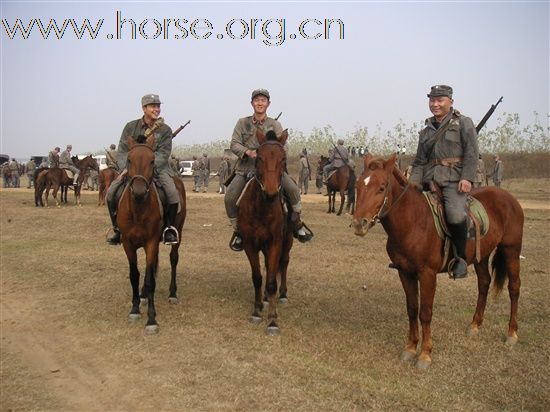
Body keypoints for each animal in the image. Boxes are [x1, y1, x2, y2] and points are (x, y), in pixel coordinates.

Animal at [115, 135, 187, 334]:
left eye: (152, 160)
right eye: (129, 160)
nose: (139, 191)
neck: (138, 209)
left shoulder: (151, 242)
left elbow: (149, 279)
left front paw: (152, 319)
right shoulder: (128, 244)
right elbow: (135, 275)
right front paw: (134, 308)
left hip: (178, 232)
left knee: (173, 259)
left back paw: (172, 293)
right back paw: (143, 295)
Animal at [239, 128, 296, 334]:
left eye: (283, 159)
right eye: (259, 158)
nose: (271, 193)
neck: (262, 208)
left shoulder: (275, 242)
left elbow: (272, 281)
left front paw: (272, 320)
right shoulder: (250, 243)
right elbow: (257, 277)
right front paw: (257, 310)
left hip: (287, 241)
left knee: (284, 263)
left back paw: (283, 294)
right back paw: (263, 298)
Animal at [354, 152, 528, 370]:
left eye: (382, 187)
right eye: (358, 185)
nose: (359, 223)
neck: (413, 221)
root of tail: (508, 197)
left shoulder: (427, 274)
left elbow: (425, 313)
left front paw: (425, 354)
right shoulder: (405, 272)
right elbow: (412, 309)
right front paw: (410, 347)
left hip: (511, 250)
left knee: (514, 288)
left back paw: (512, 333)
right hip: (482, 256)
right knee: (484, 283)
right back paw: (475, 325)